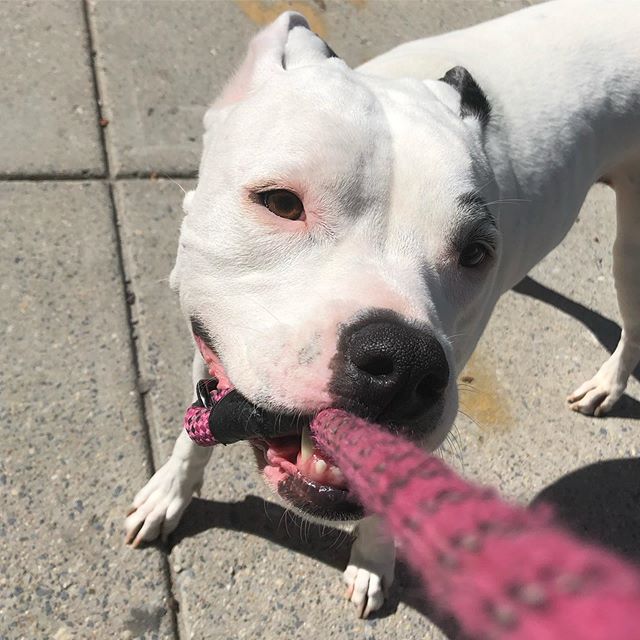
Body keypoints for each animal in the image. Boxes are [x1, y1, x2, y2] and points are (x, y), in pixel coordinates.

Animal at [126, 0, 640, 620]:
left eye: (475, 252)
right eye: (281, 203)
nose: (404, 366)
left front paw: (373, 559)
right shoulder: (212, 345)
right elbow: (192, 432)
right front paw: (168, 493)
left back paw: (608, 383)